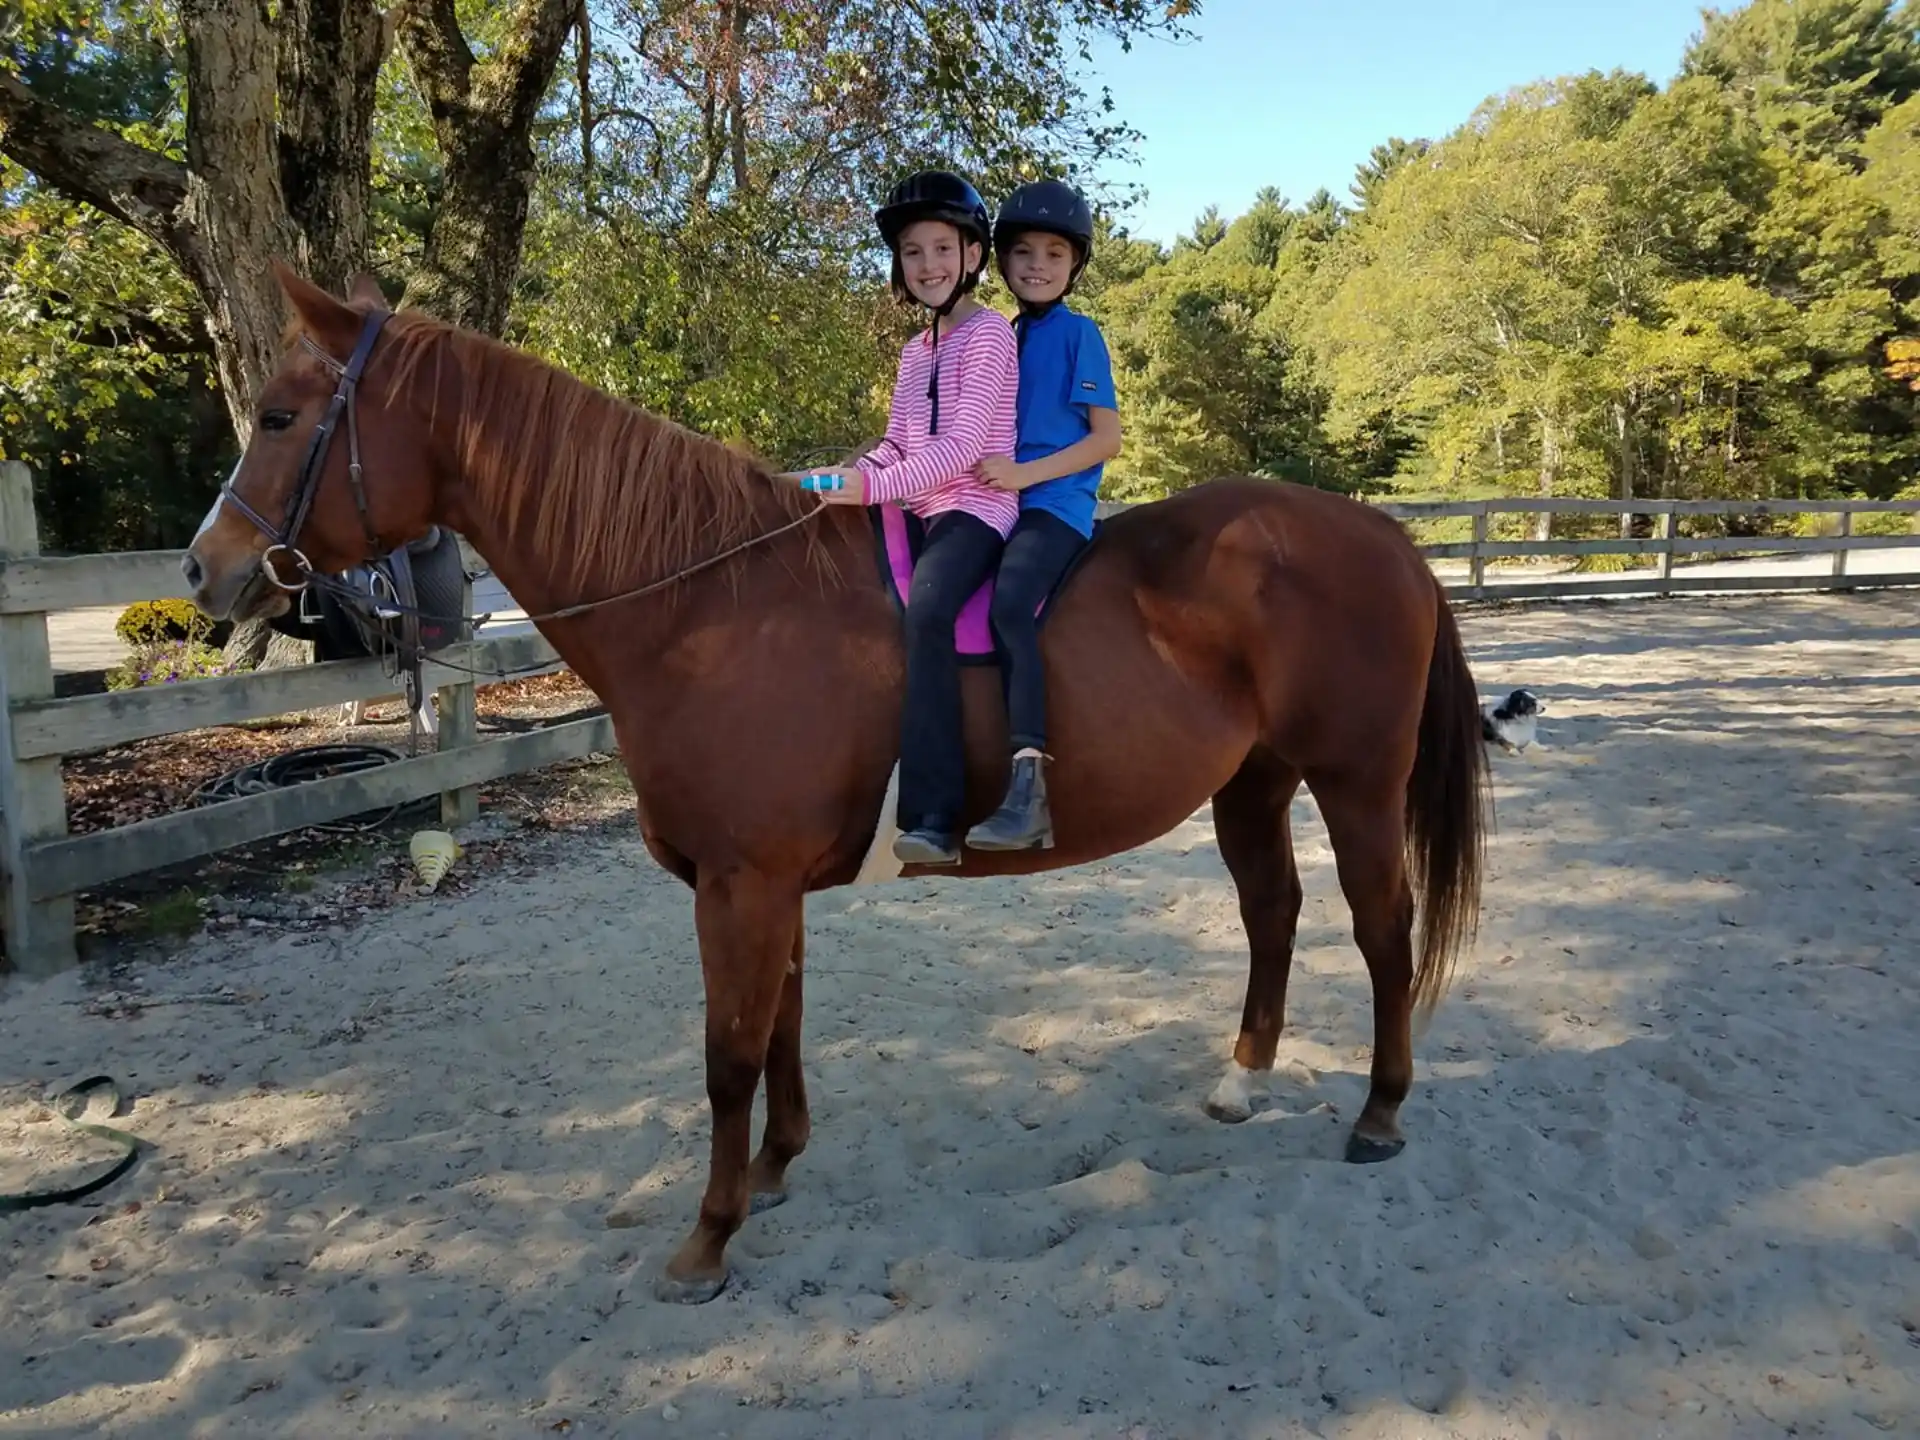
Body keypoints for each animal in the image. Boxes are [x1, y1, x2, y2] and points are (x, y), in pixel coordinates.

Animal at [182, 265, 1493, 1304]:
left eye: (283, 415)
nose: (205, 570)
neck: (711, 608)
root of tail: (1383, 536)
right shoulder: (765, 887)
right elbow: (782, 1027)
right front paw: (773, 1171)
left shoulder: (742, 886)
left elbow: (727, 1052)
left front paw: (706, 1239)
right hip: (1255, 784)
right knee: (1274, 913)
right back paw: (1239, 1086)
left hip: (1354, 782)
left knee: (1381, 932)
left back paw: (1380, 1113)